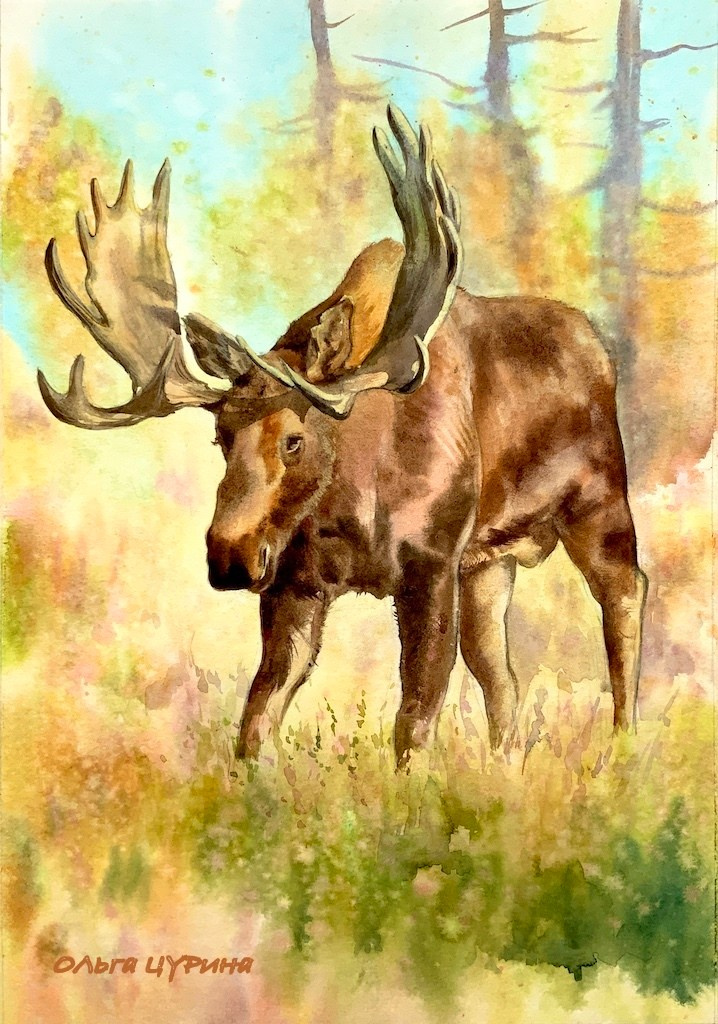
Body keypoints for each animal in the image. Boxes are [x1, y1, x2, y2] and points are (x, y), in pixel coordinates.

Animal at [38, 106, 647, 766]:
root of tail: (599, 346)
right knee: (499, 670)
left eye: (294, 439)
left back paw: (622, 747)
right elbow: (258, 718)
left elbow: (416, 716)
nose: (228, 555)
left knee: (624, 596)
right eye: (220, 437)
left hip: (598, 502)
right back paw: (508, 764)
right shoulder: (295, 582)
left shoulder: (432, 561)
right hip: (490, 559)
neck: (352, 501)